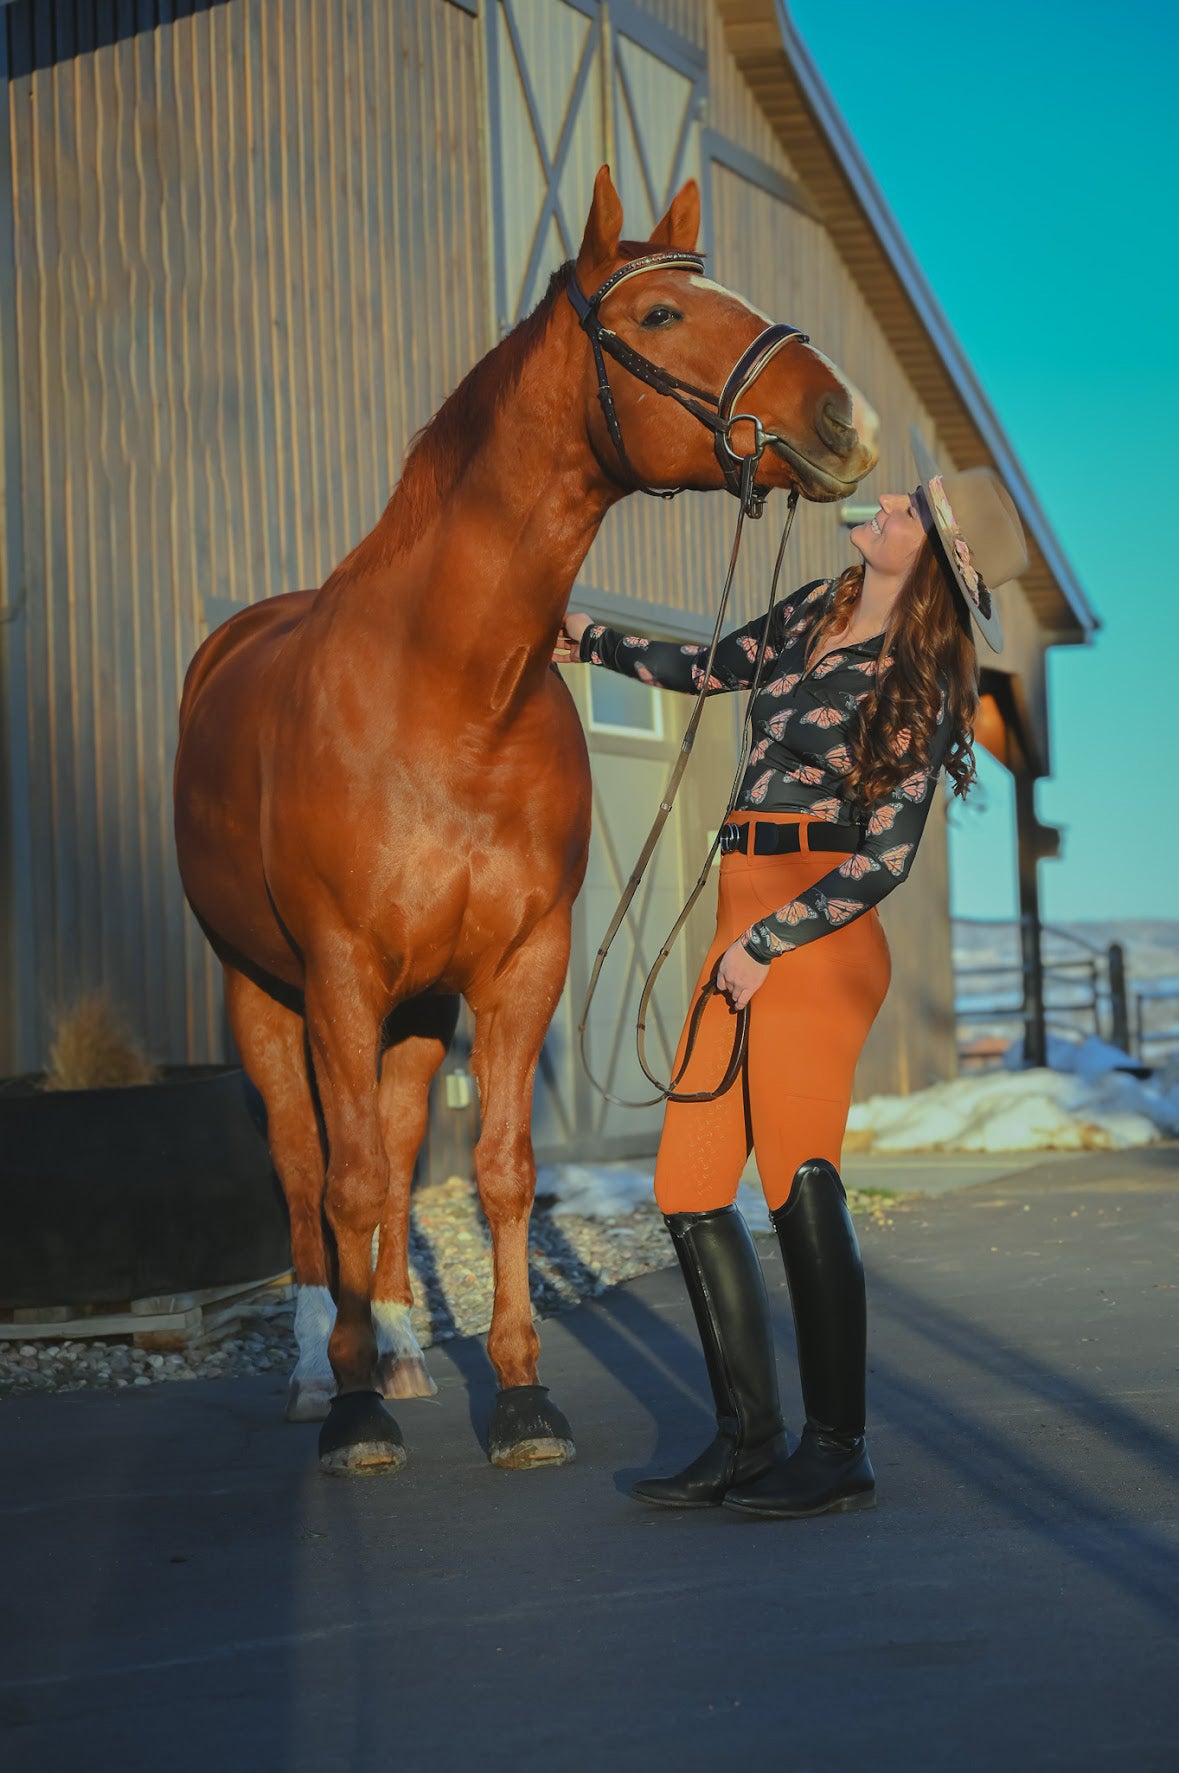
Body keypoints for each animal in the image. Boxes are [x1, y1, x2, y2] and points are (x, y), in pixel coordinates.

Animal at [172, 166, 872, 1475]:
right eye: (658, 317)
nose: (844, 419)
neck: (450, 694)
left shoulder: (517, 964)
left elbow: (496, 1170)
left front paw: (520, 1396)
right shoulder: (338, 970)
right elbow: (342, 1185)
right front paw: (353, 1415)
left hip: (418, 1007)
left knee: (401, 1149)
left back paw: (401, 1349)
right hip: (265, 990)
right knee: (306, 1168)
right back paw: (323, 1371)